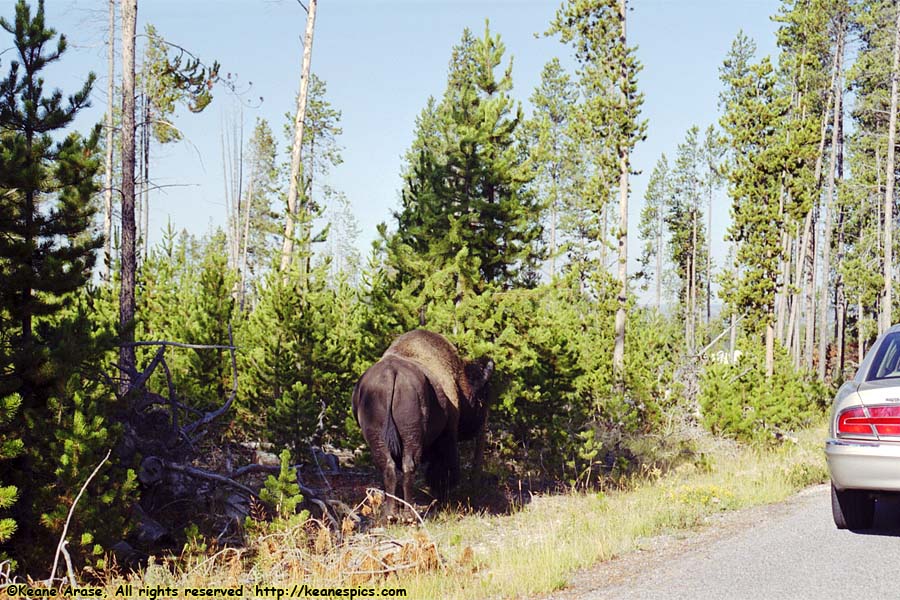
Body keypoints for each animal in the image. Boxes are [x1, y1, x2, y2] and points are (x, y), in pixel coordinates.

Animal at [352, 330, 492, 512]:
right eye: (482, 396)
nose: (482, 420)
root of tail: (391, 374)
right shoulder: (448, 435)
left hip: (378, 438)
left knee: (389, 468)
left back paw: (390, 512)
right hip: (412, 438)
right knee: (409, 467)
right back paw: (409, 511)